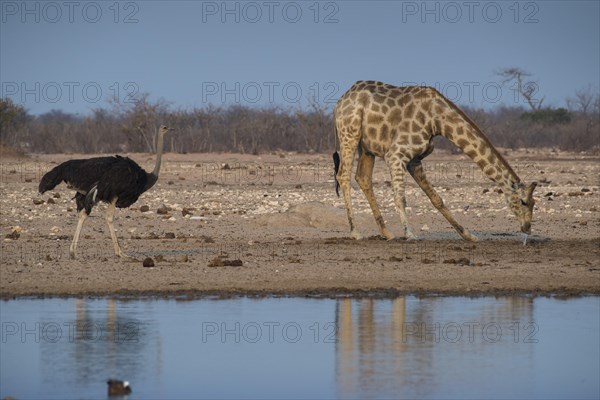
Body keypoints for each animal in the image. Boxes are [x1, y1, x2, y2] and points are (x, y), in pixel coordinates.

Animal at [332, 81, 540, 241]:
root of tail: (340, 101)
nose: (527, 228)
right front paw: (410, 234)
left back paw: (387, 233)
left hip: (367, 147)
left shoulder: (414, 160)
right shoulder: (396, 154)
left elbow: (437, 199)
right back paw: (356, 233)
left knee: (363, 178)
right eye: (523, 202)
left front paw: (468, 235)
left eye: (534, 203)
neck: (438, 121)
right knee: (343, 176)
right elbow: (400, 197)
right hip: (349, 133)